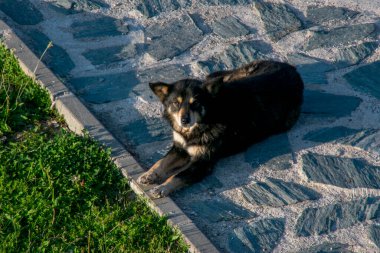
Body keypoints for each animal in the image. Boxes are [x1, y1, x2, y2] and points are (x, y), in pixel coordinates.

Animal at [137, 60, 302, 199]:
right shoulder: (180, 148)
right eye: (175, 103)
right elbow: (162, 162)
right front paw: (150, 174)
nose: (184, 121)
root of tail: (292, 69)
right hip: (234, 77)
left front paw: (162, 188)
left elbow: (179, 175)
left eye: (196, 103)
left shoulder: (202, 163)